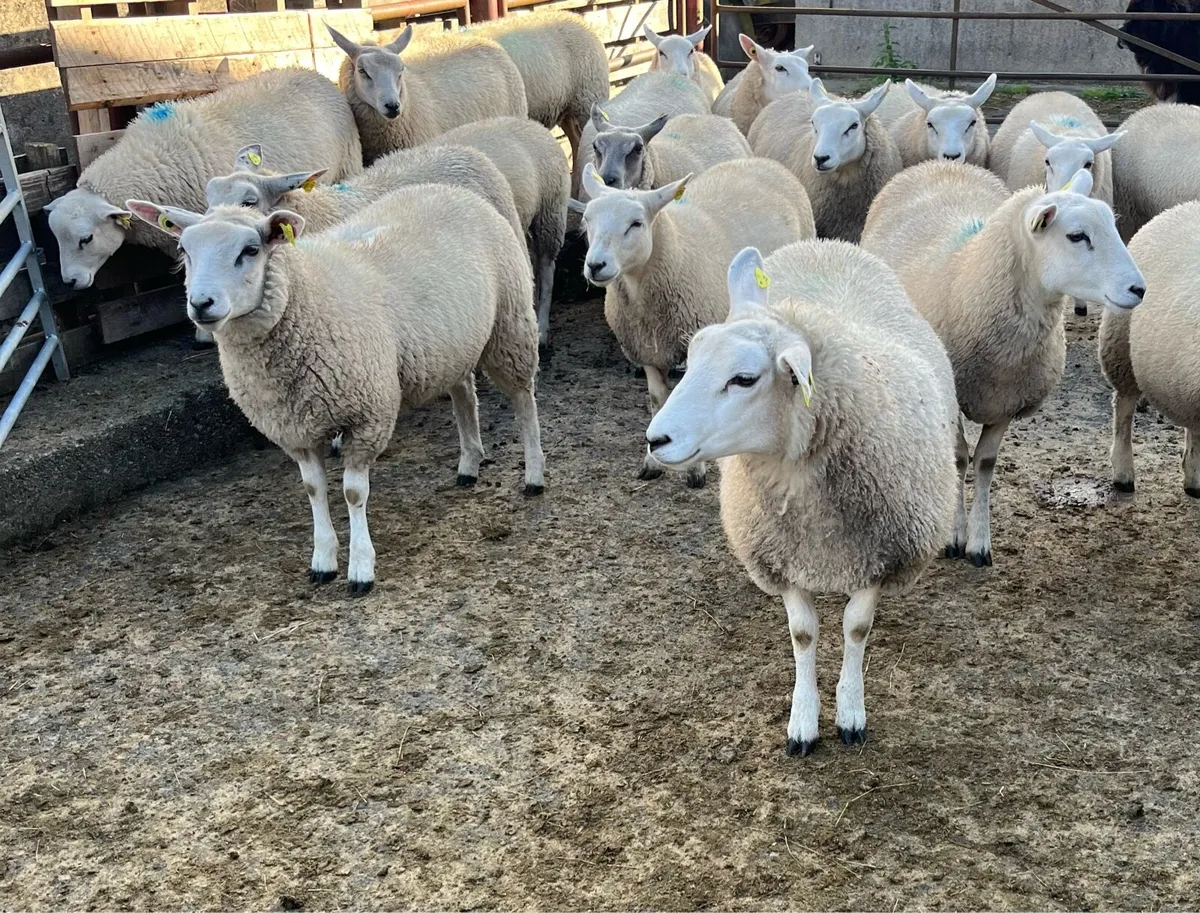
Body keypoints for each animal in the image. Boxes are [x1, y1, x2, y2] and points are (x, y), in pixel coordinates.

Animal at [42, 67, 361, 345]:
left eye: (86, 238)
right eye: (56, 238)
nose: (69, 281)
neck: (149, 162)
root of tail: (312, 72)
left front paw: (205, 335)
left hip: (349, 164)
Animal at [126, 185, 545, 595]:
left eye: (250, 250)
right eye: (184, 250)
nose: (201, 304)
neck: (303, 295)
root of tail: (453, 190)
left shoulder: (367, 416)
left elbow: (353, 494)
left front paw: (360, 568)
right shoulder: (293, 428)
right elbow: (313, 489)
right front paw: (323, 560)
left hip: (510, 324)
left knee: (524, 400)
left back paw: (534, 474)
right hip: (450, 345)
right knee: (462, 392)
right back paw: (469, 463)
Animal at [574, 158, 815, 486]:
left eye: (636, 223)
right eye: (588, 220)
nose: (595, 265)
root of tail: (762, 161)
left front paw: (695, 470)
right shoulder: (646, 352)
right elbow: (657, 401)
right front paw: (651, 462)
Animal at [644, 243, 958, 755]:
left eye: (744, 378)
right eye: (689, 362)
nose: (656, 439)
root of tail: (826, 244)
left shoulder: (881, 556)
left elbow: (856, 628)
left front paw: (850, 713)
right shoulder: (781, 556)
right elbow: (803, 634)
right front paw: (803, 721)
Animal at [861, 161, 1146, 566]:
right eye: (1077, 236)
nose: (1139, 289)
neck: (968, 278)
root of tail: (941, 164)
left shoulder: (1008, 400)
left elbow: (984, 463)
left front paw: (979, 542)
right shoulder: (952, 397)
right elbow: (958, 459)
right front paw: (954, 536)